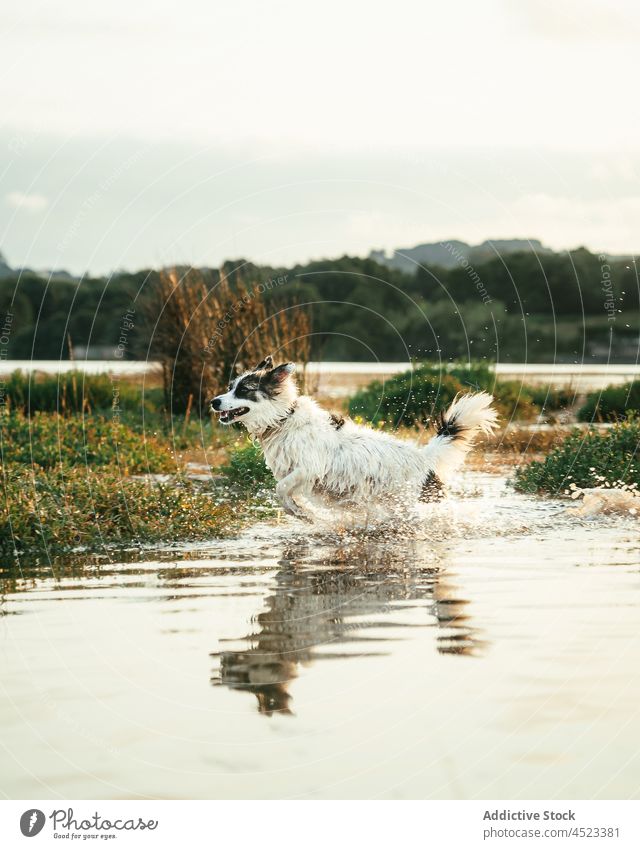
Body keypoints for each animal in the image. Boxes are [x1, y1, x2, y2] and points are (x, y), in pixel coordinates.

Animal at [208, 354, 498, 520]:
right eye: (230, 387)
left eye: (244, 390)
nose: (214, 401)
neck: (283, 419)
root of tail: (425, 458)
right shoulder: (297, 475)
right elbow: (286, 494)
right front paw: (301, 511)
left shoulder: (309, 468)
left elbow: (281, 489)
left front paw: (303, 513)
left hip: (407, 502)